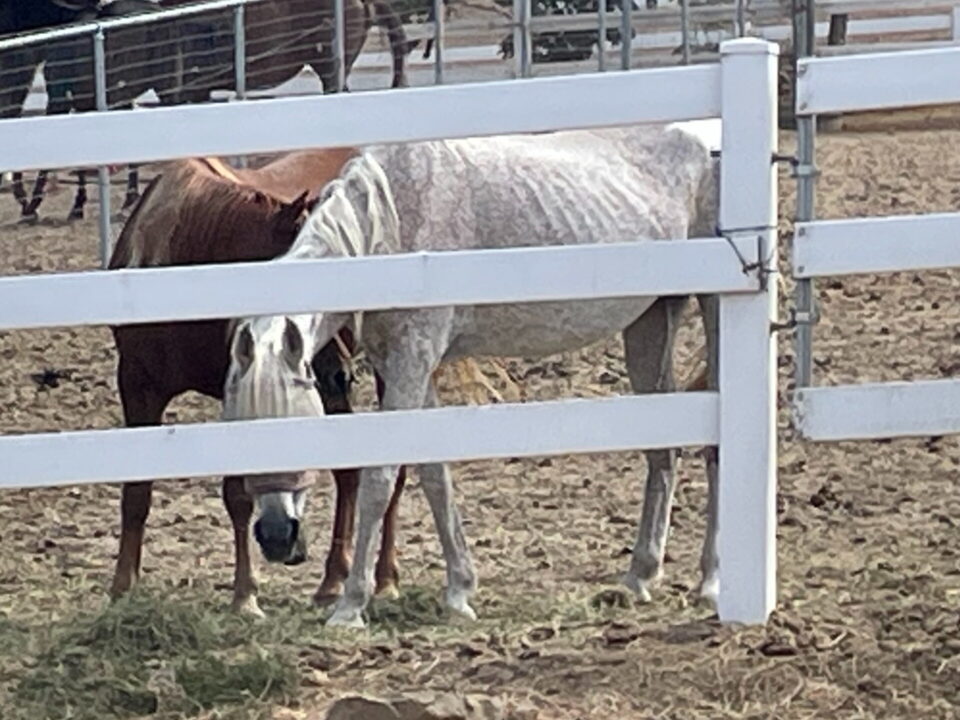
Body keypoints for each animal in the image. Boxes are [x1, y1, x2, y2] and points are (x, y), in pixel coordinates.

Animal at [221, 121, 723, 628]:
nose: (276, 536)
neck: (390, 226)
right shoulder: (409, 365)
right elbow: (434, 475)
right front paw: (460, 591)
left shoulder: (412, 360)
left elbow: (380, 479)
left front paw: (350, 605)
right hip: (652, 320)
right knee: (665, 452)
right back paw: (640, 576)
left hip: (714, 308)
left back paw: (710, 583)